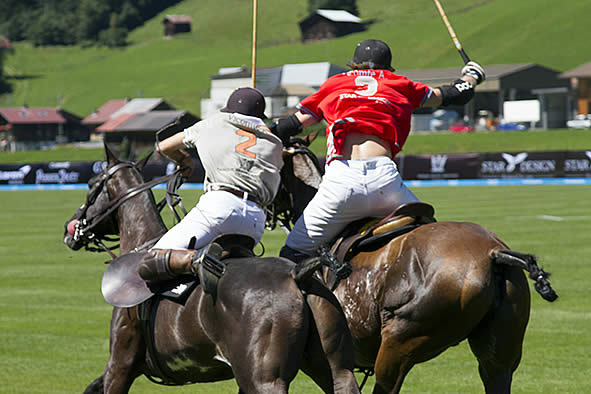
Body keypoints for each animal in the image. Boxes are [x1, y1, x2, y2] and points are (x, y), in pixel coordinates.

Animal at [62, 143, 358, 392]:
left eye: (91, 184)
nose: (70, 229)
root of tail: (297, 274)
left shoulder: (120, 364)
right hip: (335, 368)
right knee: (342, 378)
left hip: (263, 379)